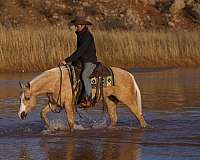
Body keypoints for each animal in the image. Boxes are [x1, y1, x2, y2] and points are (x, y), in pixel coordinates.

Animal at [17, 65, 148, 131]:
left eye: (27, 98)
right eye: (20, 99)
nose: (21, 114)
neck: (56, 81)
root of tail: (130, 75)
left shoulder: (68, 105)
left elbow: (70, 122)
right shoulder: (54, 104)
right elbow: (42, 113)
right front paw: (49, 126)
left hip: (128, 100)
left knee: (139, 116)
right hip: (110, 101)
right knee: (114, 119)